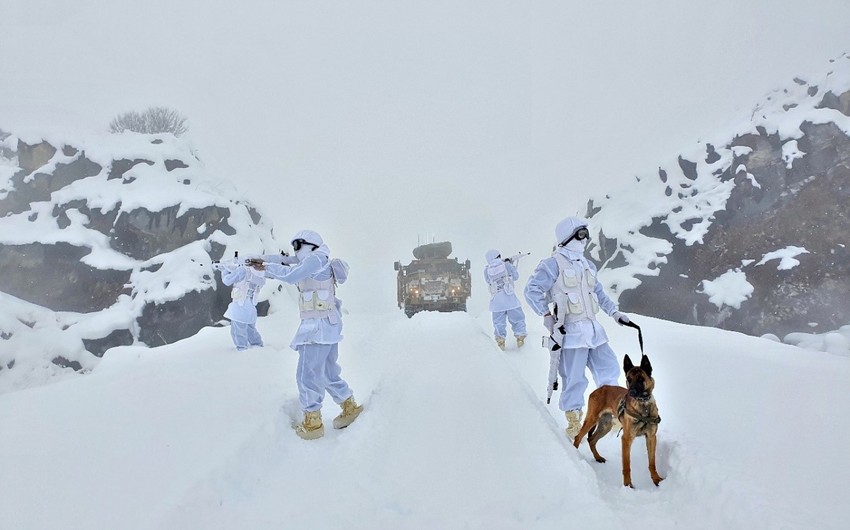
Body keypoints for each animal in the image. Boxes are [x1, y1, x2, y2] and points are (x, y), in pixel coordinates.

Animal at [568, 352, 664, 484]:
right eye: (628, 379)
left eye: (641, 379)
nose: (631, 393)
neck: (643, 407)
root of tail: (598, 389)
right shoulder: (626, 439)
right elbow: (626, 465)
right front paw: (628, 485)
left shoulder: (651, 438)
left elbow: (652, 462)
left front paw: (656, 479)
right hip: (592, 420)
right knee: (578, 437)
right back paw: (575, 456)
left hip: (606, 426)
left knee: (591, 440)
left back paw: (598, 457)